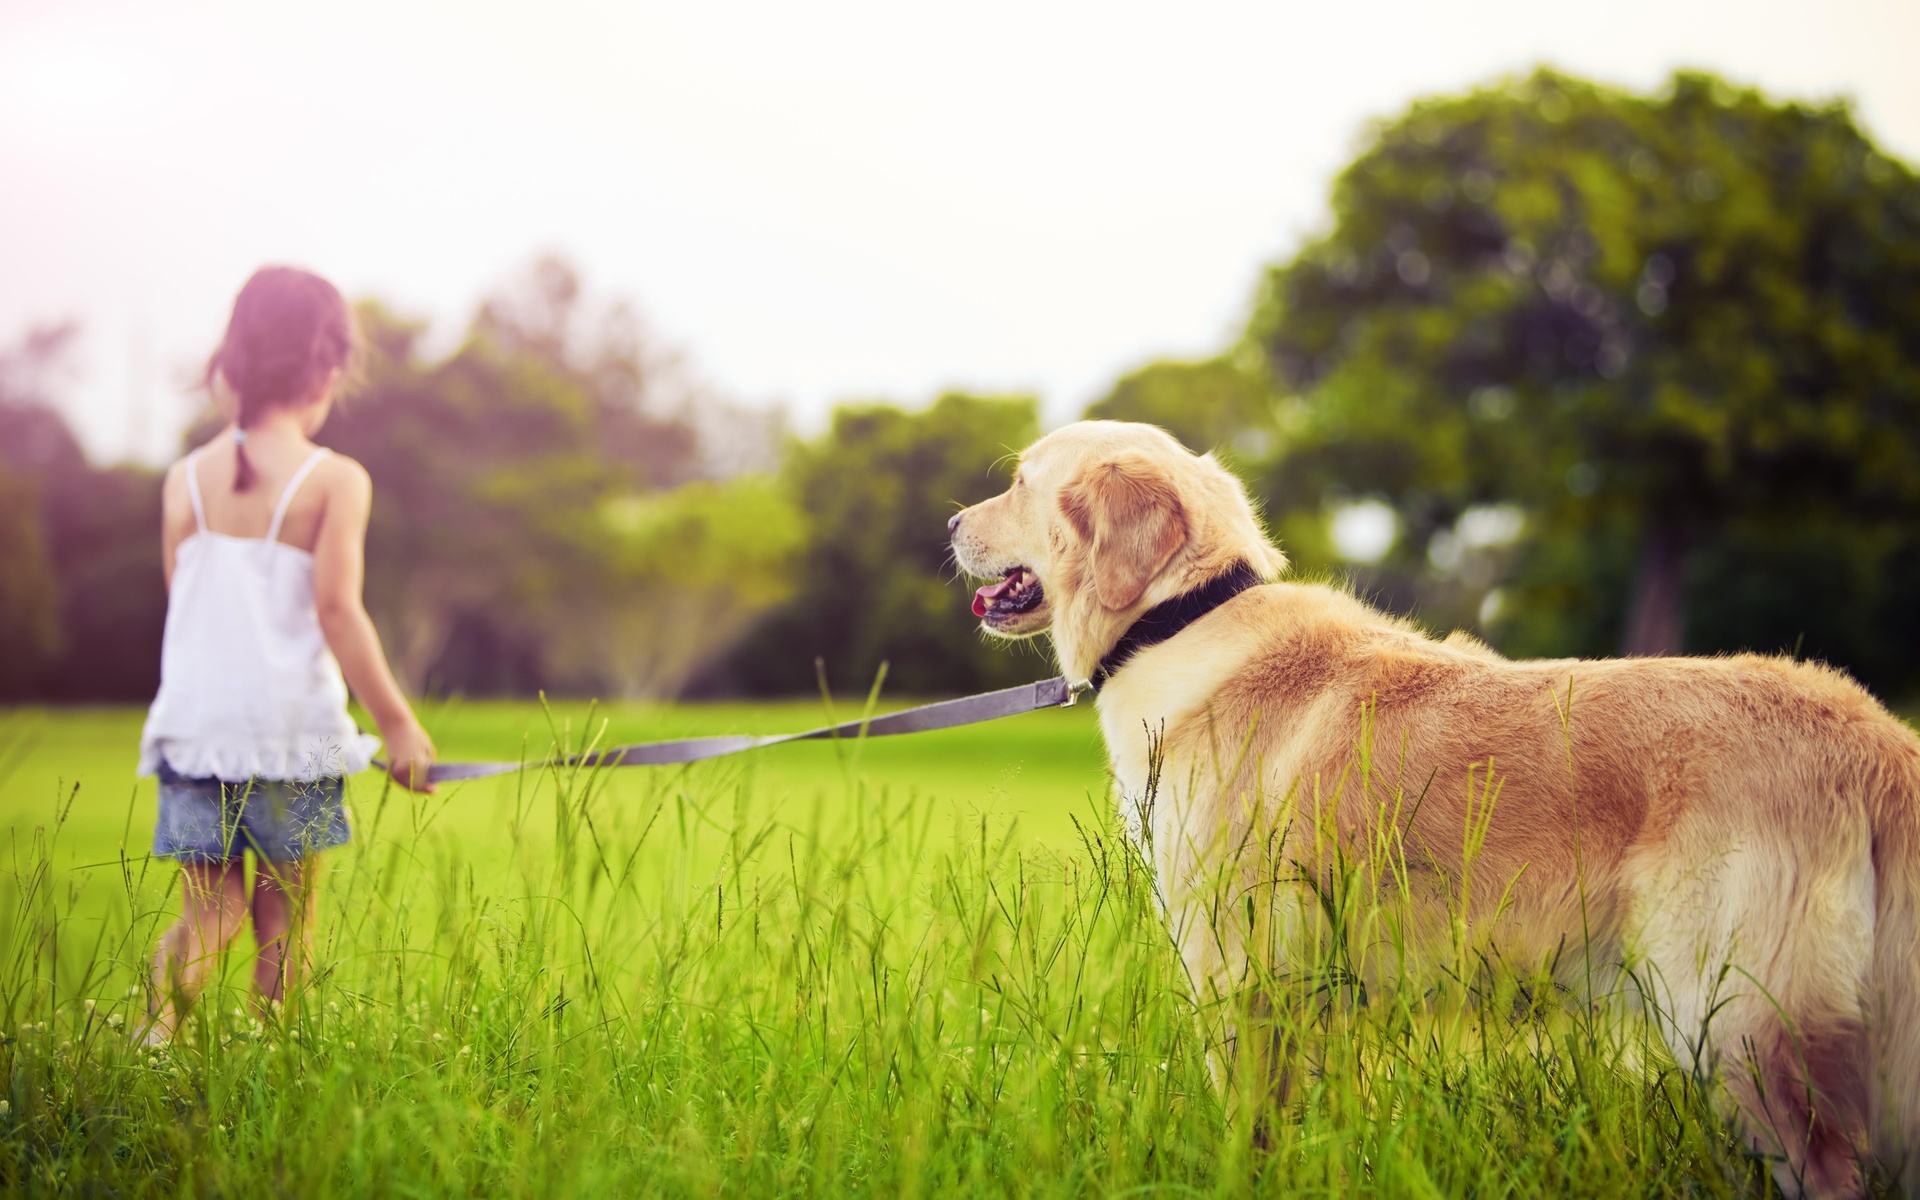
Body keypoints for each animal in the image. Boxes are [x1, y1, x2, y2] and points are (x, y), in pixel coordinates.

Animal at [952, 416, 1920, 1190]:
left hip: (1742, 1027)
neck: (1180, 617)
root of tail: (1876, 737)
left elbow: (1247, 1128)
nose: (952, 523)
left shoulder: (1238, 972)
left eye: (1021, 482)